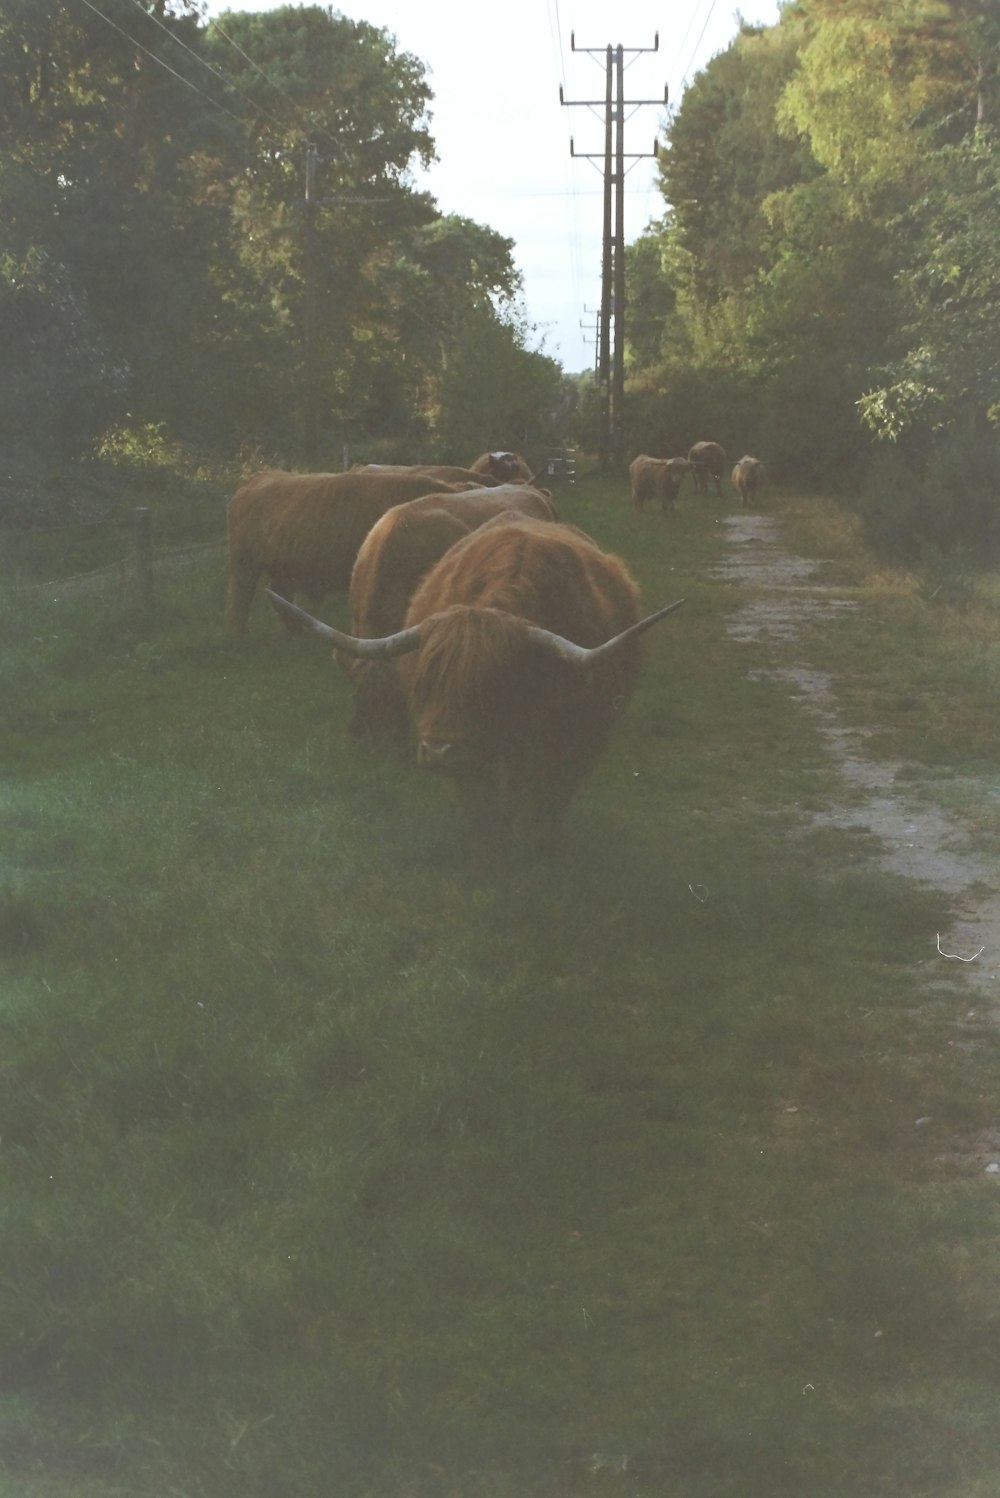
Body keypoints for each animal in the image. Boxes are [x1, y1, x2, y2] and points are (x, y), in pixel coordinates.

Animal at [223, 467, 464, 632]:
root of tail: (255, 480)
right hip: (244, 564)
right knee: (239, 600)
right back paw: (240, 637)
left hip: (285, 569)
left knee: (281, 596)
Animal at [269, 518, 682, 856]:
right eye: (426, 682)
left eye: (491, 686)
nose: (438, 751)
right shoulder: (472, 762)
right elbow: (483, 808)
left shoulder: (573, 744)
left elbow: (542, 803)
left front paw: (538, 850)